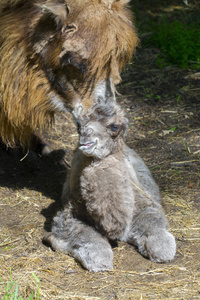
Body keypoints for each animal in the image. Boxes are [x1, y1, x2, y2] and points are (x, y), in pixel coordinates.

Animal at [44, 98, 177, 272]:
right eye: (79, 125)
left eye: (114, 126)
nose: (86, 140)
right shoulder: (69, 213)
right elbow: (85, 235)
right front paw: (98, 260)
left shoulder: (144, 205)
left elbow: (153, 222)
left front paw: (162, 249)